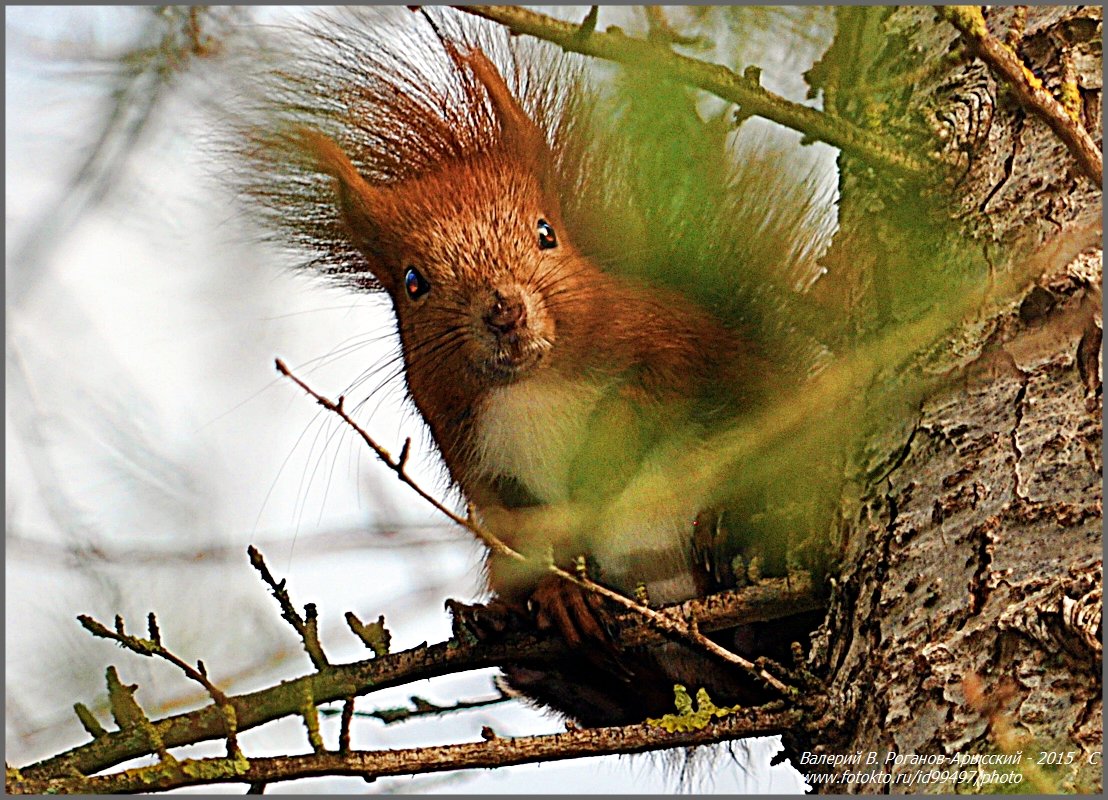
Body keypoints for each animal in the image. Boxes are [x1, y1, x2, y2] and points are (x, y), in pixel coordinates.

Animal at [227, 9, 833, 722]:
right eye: (412, 282)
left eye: (547, 233)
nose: (504, 310)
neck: (533, 383)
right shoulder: (466, 442)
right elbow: (510, 516)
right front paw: (560, 593)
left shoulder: (678, 340)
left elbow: (669, 394)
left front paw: (602, 453)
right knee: (640, 692)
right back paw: (524, 647)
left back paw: (745, 545)